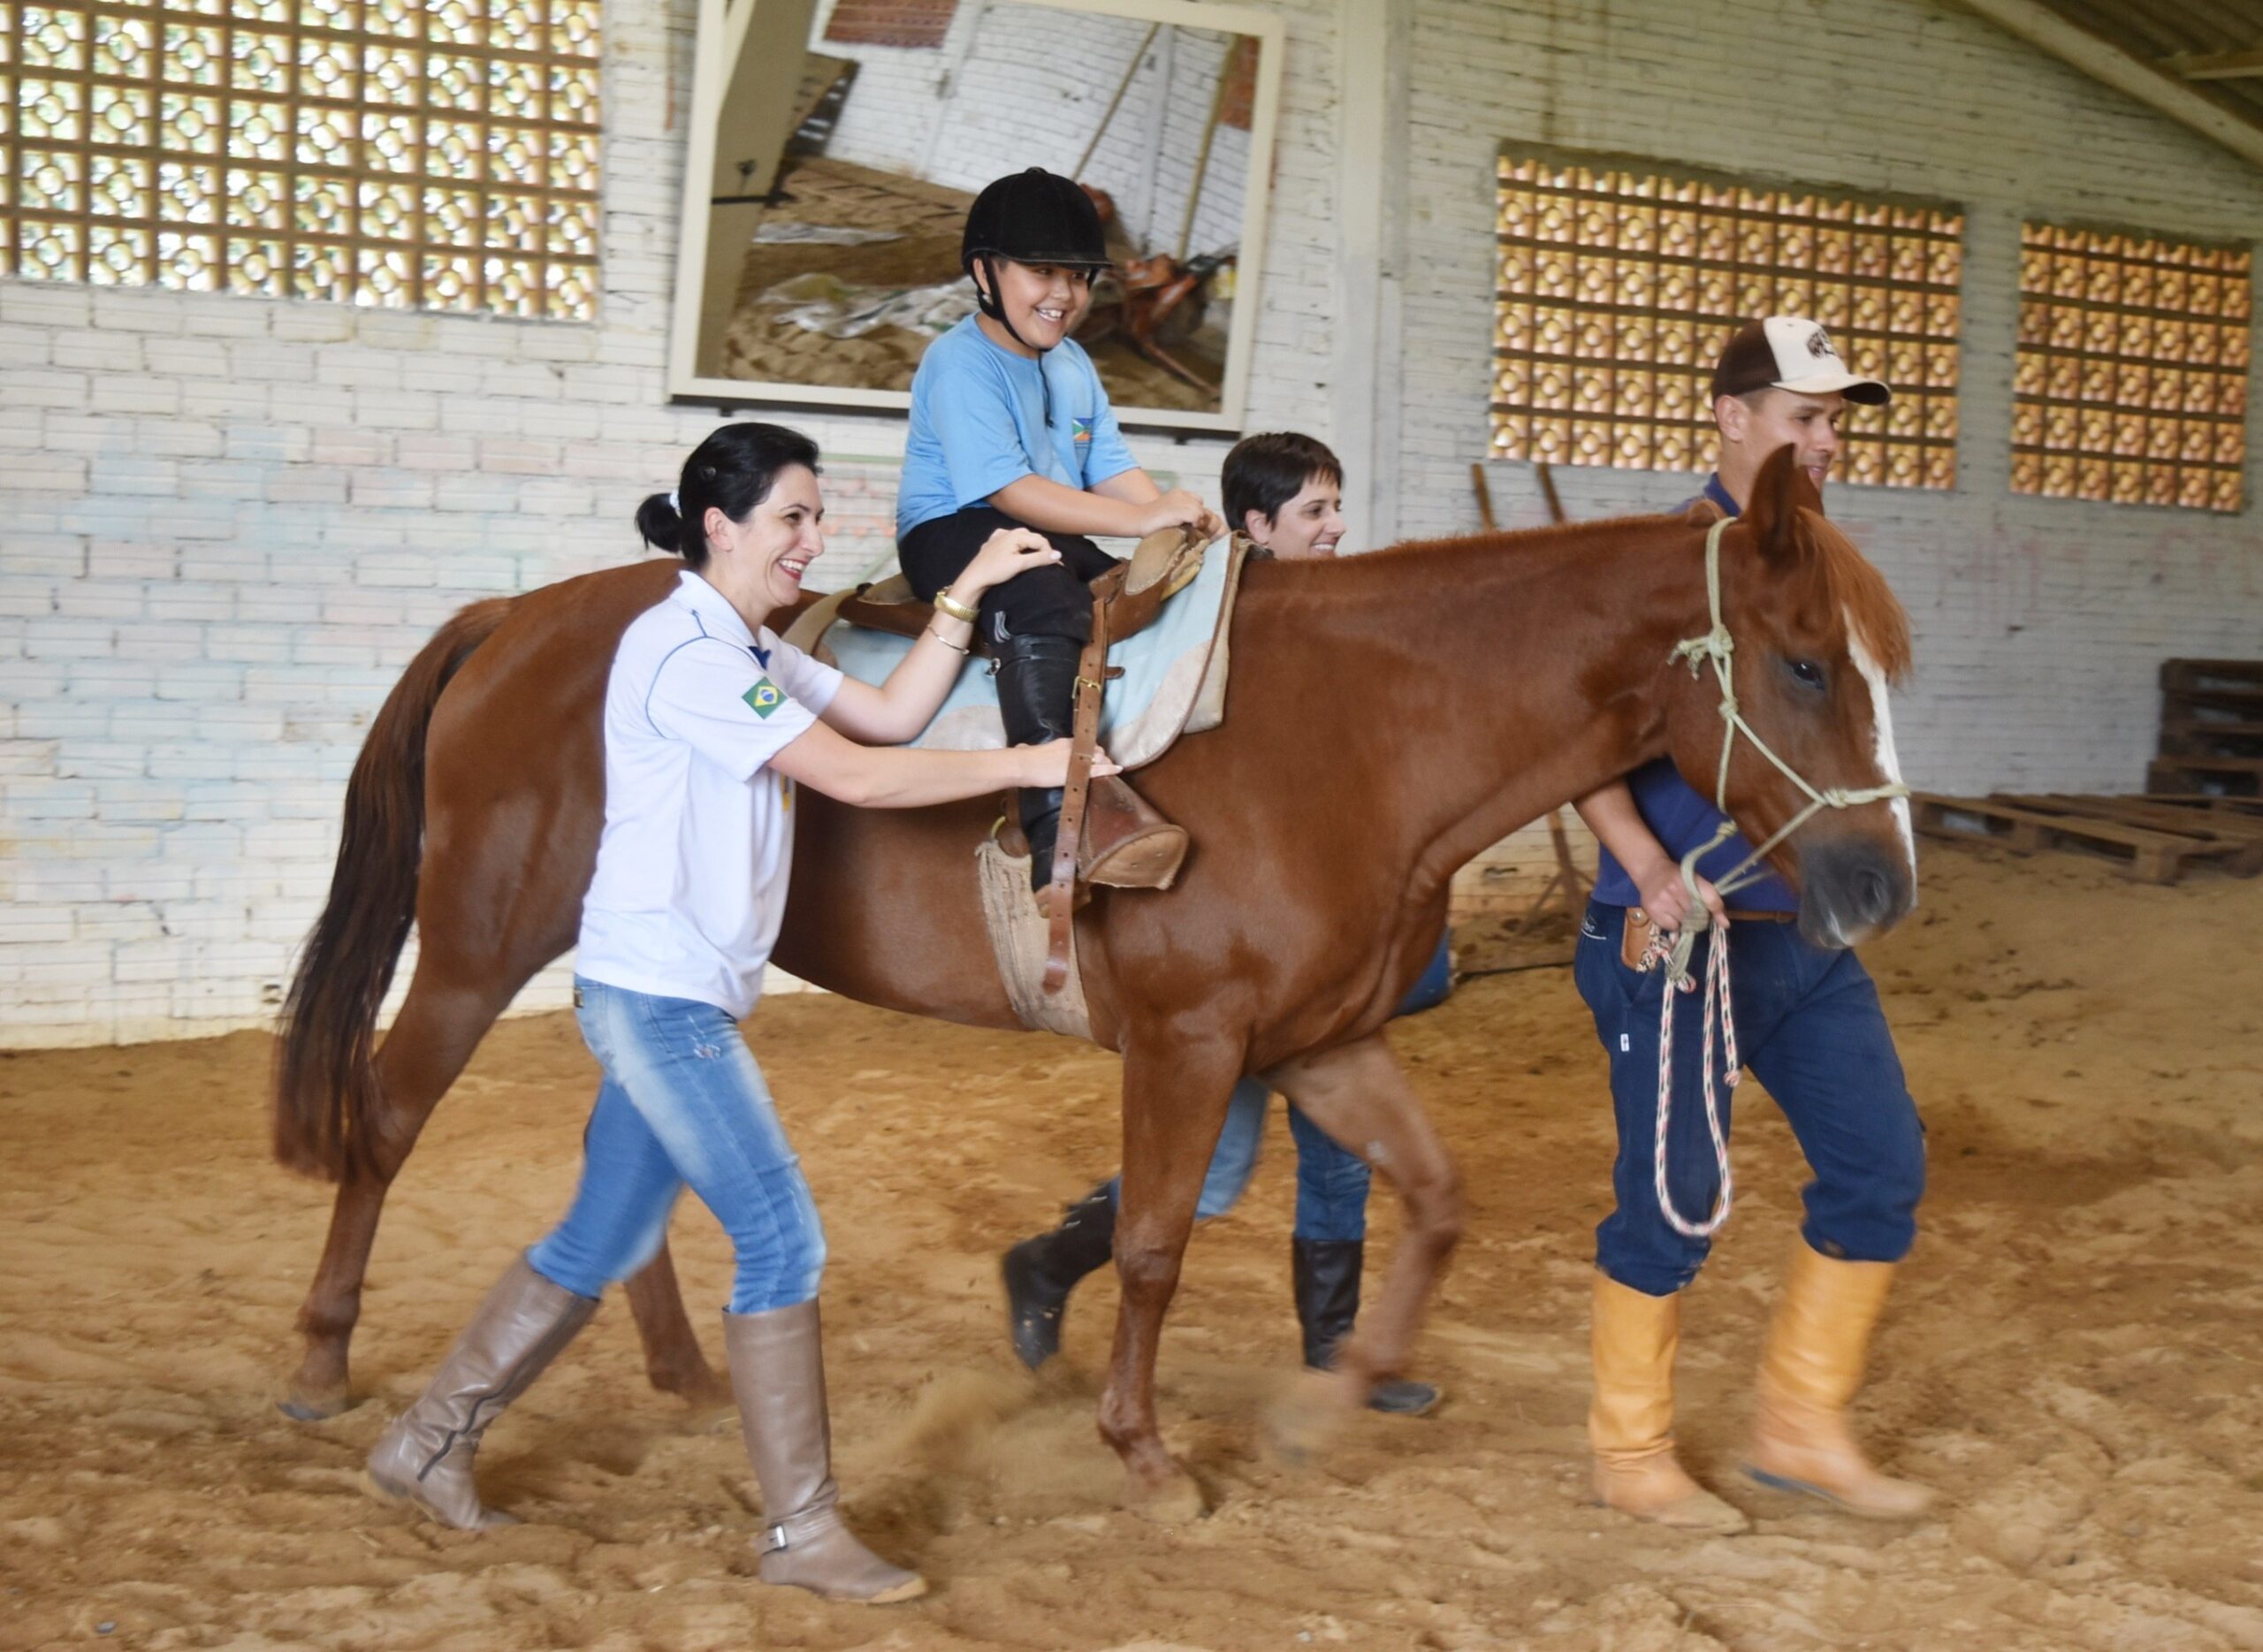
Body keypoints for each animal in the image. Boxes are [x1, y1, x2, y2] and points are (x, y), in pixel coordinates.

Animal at [273, 447, 1918, 1503]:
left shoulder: (1316, 1040)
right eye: (1806, 663)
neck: (1361, 731)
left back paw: (682, 1368)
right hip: (478, 945)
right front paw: (1142, 1448)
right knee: (387, 1119)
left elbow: (1437, 1200)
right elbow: (1148, 1244)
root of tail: (516, 618)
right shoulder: (1191, 1045)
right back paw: (322, 1362)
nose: (1881, 886)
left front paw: (1335, 1395)